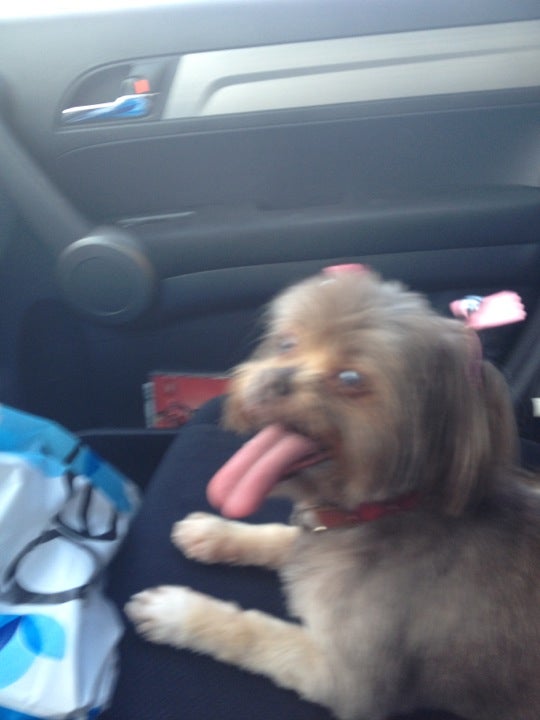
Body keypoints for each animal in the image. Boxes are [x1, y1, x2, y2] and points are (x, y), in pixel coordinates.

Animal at [126, 267, 540, 720]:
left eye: (351, 379)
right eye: (287, 343)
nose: (272, 379)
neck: (378, 512)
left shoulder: (348, 680)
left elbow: (253, 631)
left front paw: (177, 612)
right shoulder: (317, 532)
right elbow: (279, 538)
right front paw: (214, 533)